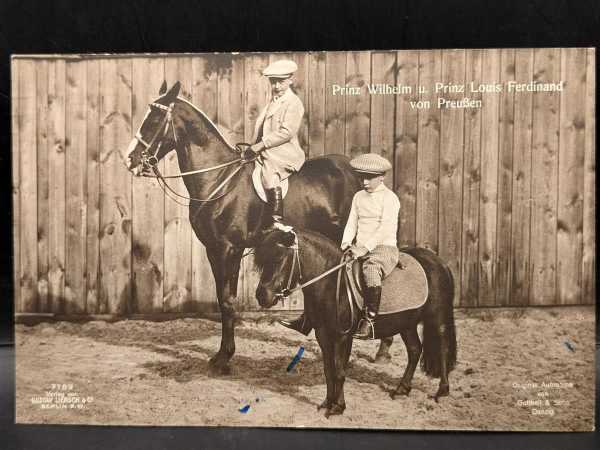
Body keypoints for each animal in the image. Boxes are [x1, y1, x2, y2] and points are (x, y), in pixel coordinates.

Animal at [126, 82, 390, 374]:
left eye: (154, 120)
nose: (131, 160)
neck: (219, 180)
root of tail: (355, 171)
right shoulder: (215, 250)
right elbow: (222, 298)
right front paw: (221, 355)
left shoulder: (228, 249)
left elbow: (227, 302)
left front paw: (224, 358)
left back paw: (382, 348)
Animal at [252, 229, 454, 418]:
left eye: (279, 258)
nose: (261, 296)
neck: (332, 283)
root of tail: (438, 262)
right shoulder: (322, 334)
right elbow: (328, 370)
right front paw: (327, 403)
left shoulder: (343, 336)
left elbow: (340, 371)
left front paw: (338, 407)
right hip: (407, 323)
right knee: (414, 351)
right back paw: (401, 389)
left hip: (437, 317)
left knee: (443, 348)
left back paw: (442, 391)